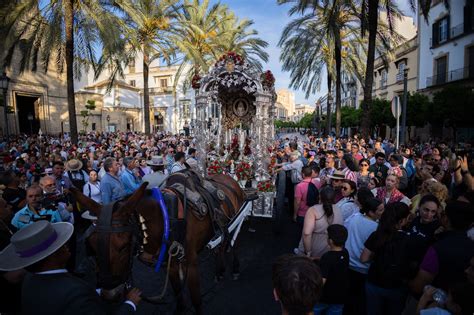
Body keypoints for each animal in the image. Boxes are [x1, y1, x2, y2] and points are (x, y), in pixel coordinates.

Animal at [73, 174, 246, 314]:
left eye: (123, 246)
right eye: (91, 246)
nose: (110, 295)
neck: (166, 219)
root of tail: (230, 179)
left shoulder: (191, 264)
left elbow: (197, 301)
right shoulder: (170, 264)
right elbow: (178, 292)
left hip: (236, 219)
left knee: (233, 242)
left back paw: (235, 268)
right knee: (222, 245)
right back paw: (220, 270)